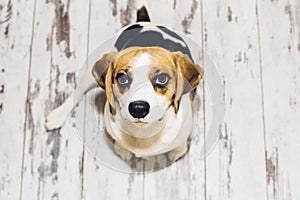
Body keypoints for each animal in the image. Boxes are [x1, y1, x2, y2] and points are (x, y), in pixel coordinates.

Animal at [45, 6, 204, 162]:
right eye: (122, 78)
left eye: (162, 78)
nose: (138, 108)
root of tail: (146, 22)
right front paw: (122, 149)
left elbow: (180, 147)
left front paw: (176, 152)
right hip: (89, 76)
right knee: (77, 92)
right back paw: (57, 116)